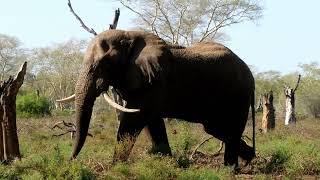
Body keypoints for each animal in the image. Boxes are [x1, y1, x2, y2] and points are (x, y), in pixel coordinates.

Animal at [71, 28, 256, 167]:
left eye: (105, 64)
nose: (71, 160)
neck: (128, 34)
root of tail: (251, 76)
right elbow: (152, 121)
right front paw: (167, 162)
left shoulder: (154, 81)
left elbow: (135, 118)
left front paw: (115, 166)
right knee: (216, 129)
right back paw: (249, 158)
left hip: (238, 95)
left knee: (230, 128)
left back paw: (230, 169)